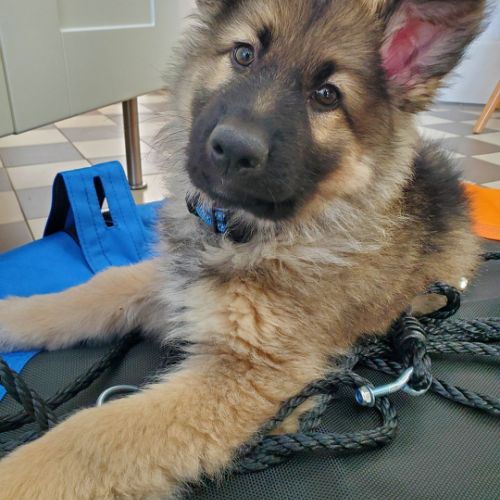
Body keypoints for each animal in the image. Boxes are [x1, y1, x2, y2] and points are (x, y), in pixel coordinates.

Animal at [0, 0, 486, 498]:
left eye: (327, 95)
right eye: (244, 55)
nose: (233, 149)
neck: (246, 234)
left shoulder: (248, 373)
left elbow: (90, 438)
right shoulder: (173, 284)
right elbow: (96, 289)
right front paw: (13, 315)